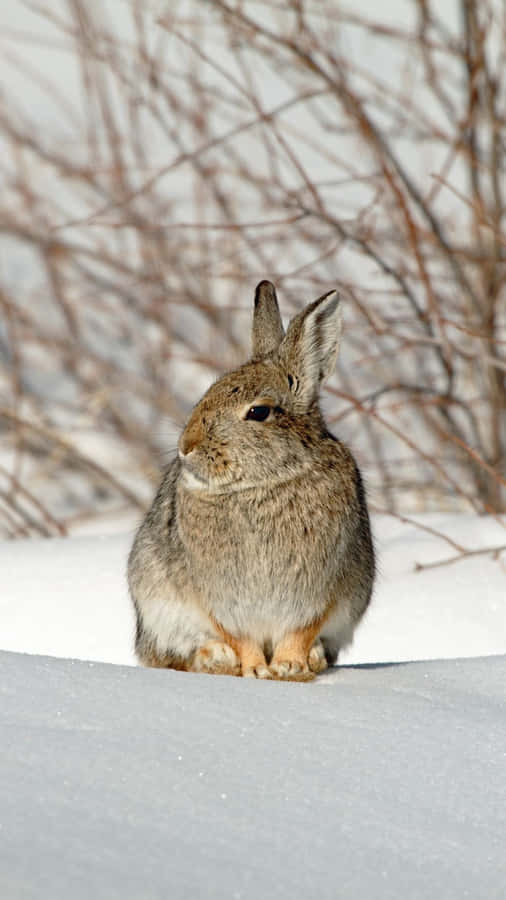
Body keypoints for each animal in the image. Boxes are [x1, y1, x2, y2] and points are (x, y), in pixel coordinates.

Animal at [128, 281, 375, 680]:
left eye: (258, 412)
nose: (186, 446)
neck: (265, 483)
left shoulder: (323, 591)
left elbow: (300, 631)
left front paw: (289, 667)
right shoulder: (220, 600)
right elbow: (240, 637)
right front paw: (257, 671)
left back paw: (314, 660)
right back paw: (216, 659)